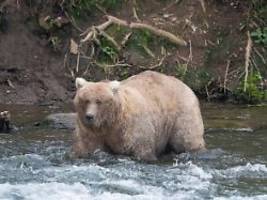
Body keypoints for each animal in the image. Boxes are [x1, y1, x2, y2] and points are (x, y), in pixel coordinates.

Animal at [74, 70, 206, 161]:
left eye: (99, 101)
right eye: (86, 100)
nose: (89, 116)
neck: (111, 122)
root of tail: (185, 84)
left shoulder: (133, 128)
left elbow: (142, 149)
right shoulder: (92, 132)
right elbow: (87, 147)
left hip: (182, 113)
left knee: (187, 138)